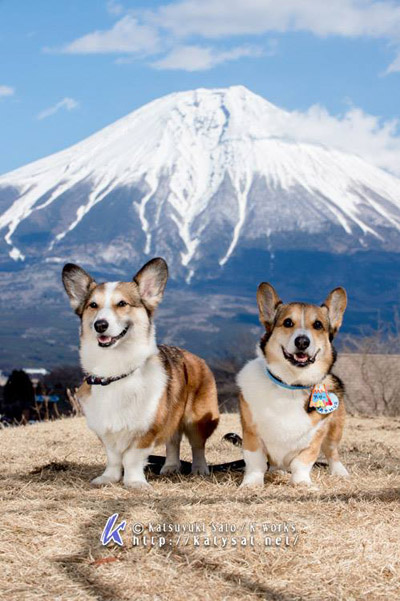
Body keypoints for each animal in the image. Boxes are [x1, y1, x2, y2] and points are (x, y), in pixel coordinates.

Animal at [61, 258, 219, 488]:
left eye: (122, 304)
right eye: (93, 305)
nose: (100, 325)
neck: (115, 373)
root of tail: (197, 358)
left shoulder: (146, 429)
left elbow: (132, 458)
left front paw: (134, 482)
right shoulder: (106, 431)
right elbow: (114, 458)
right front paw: (108, 478)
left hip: (198, 420)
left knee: (197, 446)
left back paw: (199, 469)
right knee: (173, 440)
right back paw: (170, 466)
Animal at [238, 282, 346, 488]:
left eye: (318, 325)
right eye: (288, 323)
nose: (302, 341)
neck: (290, 385)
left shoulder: (315, 437)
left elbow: (302, 462)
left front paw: (302, 483)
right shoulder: (251, 433)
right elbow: (255, 462)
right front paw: (251, 483)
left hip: (335, 428)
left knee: (332, 451)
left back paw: (340, 471)